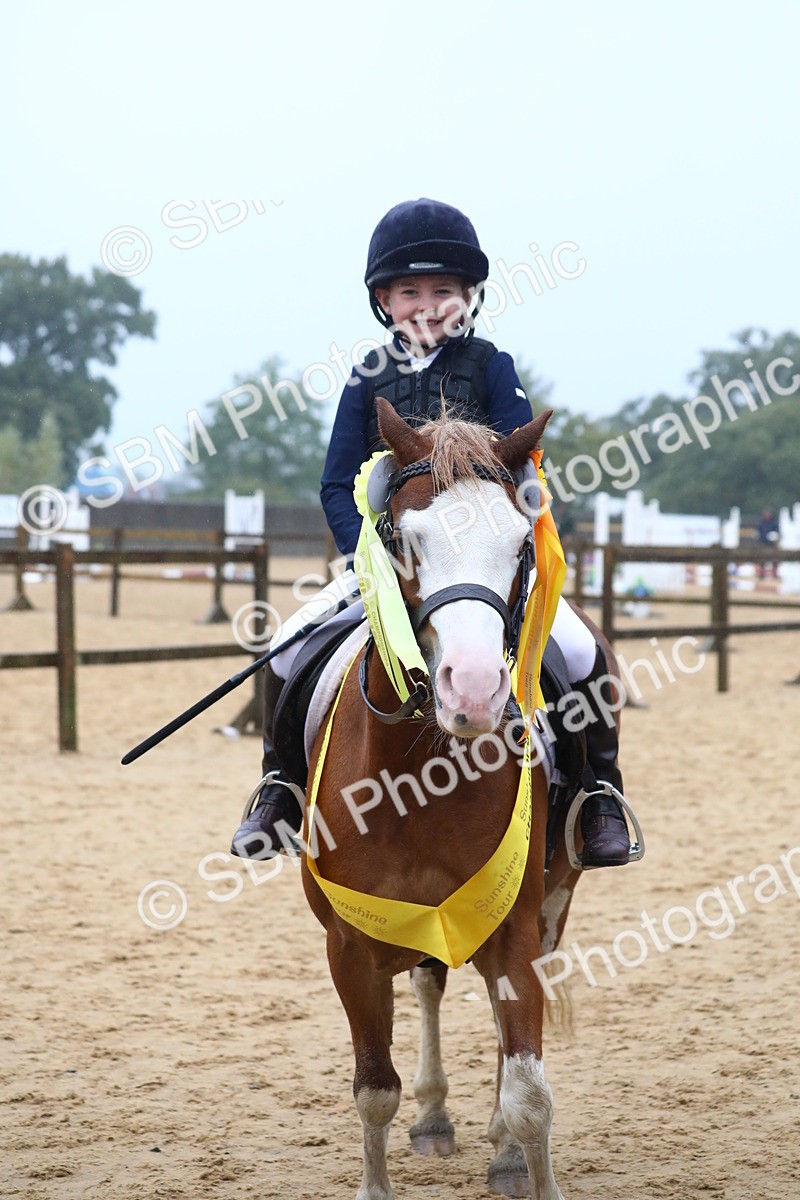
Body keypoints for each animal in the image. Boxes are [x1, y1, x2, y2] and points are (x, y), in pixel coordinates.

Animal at [300, 398, 613, 1200]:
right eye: (404, 541)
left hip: (549, 903)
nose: (472, 693)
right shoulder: (349, 944)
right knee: (429, 984)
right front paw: (378, 1181)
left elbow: (531, 1092)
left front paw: (522, 1159)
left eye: (520, 542)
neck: (421, 776)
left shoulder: (514, 927)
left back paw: (497, 1147)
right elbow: (373, 1089)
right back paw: (436, 1117)